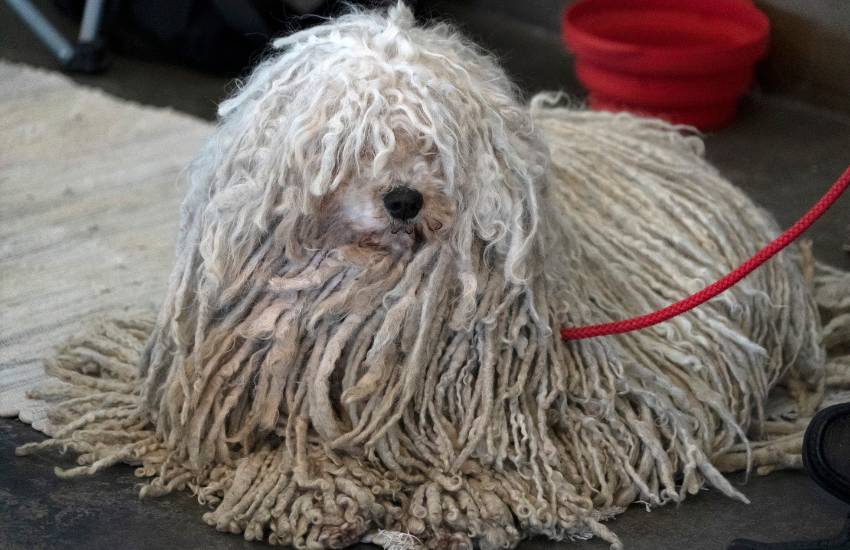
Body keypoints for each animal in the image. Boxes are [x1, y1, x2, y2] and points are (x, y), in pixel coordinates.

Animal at [19, 4, 848, 550]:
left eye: (433, 146)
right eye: (354, 142)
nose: (403, 199)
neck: (374, 302)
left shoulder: (576, 408)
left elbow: (535, 454)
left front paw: (461, 502)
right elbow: (276, 446)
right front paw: (307, 491)